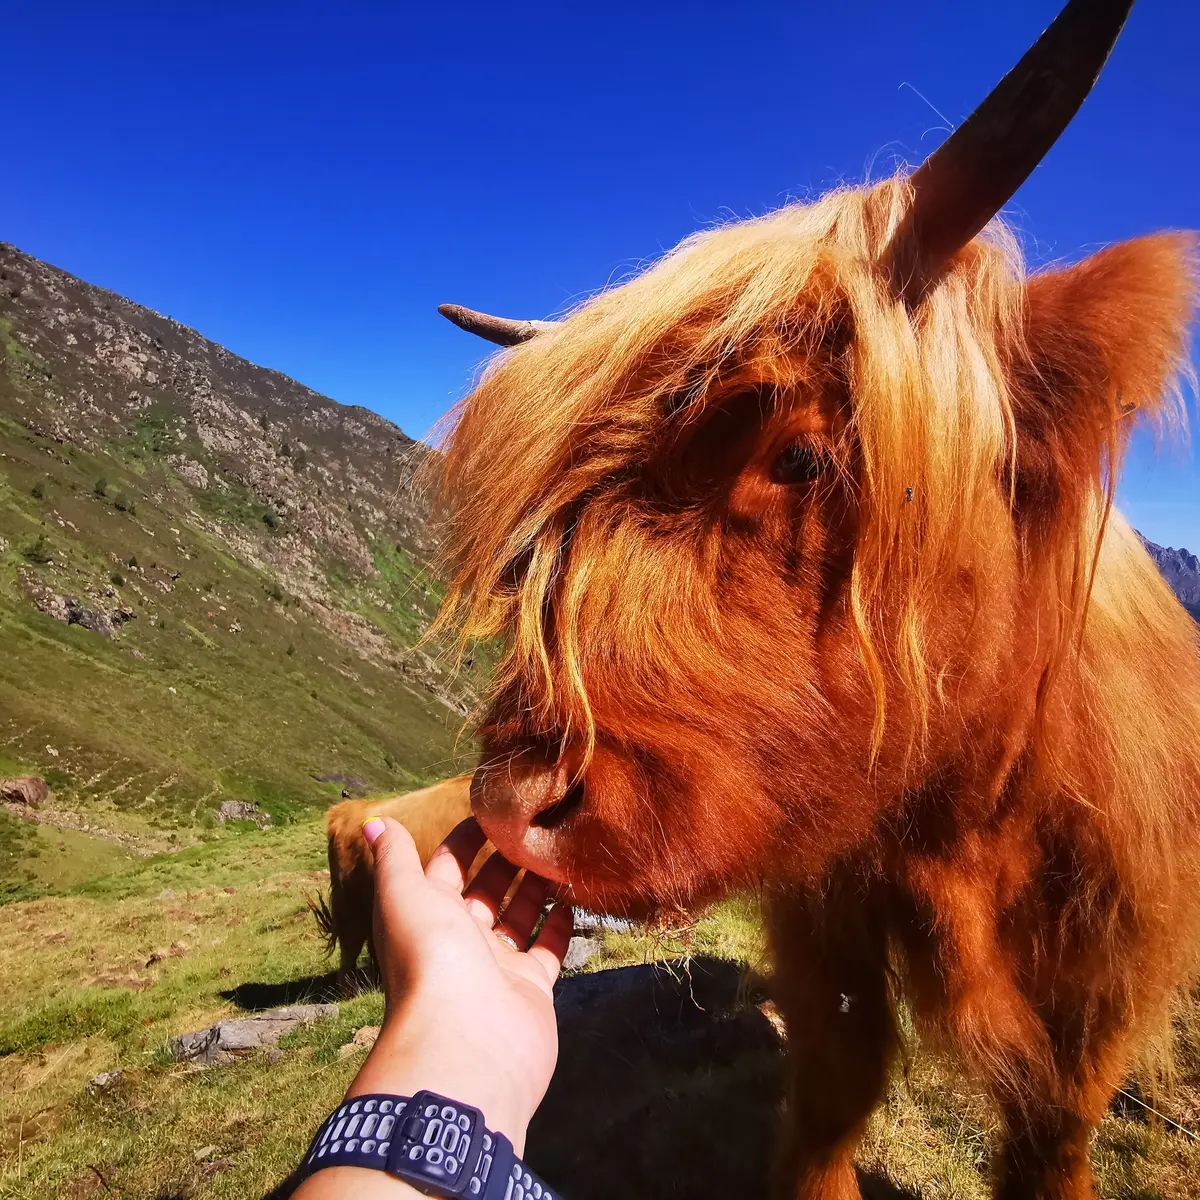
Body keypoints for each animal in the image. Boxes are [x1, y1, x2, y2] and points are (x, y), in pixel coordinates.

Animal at [431, 3, 1200, 1197]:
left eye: (797, 456)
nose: (514, 809)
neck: (970, 815)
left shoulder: (1110, 966)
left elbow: (1056, 1126)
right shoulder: (824, 912)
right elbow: (840, 1073)